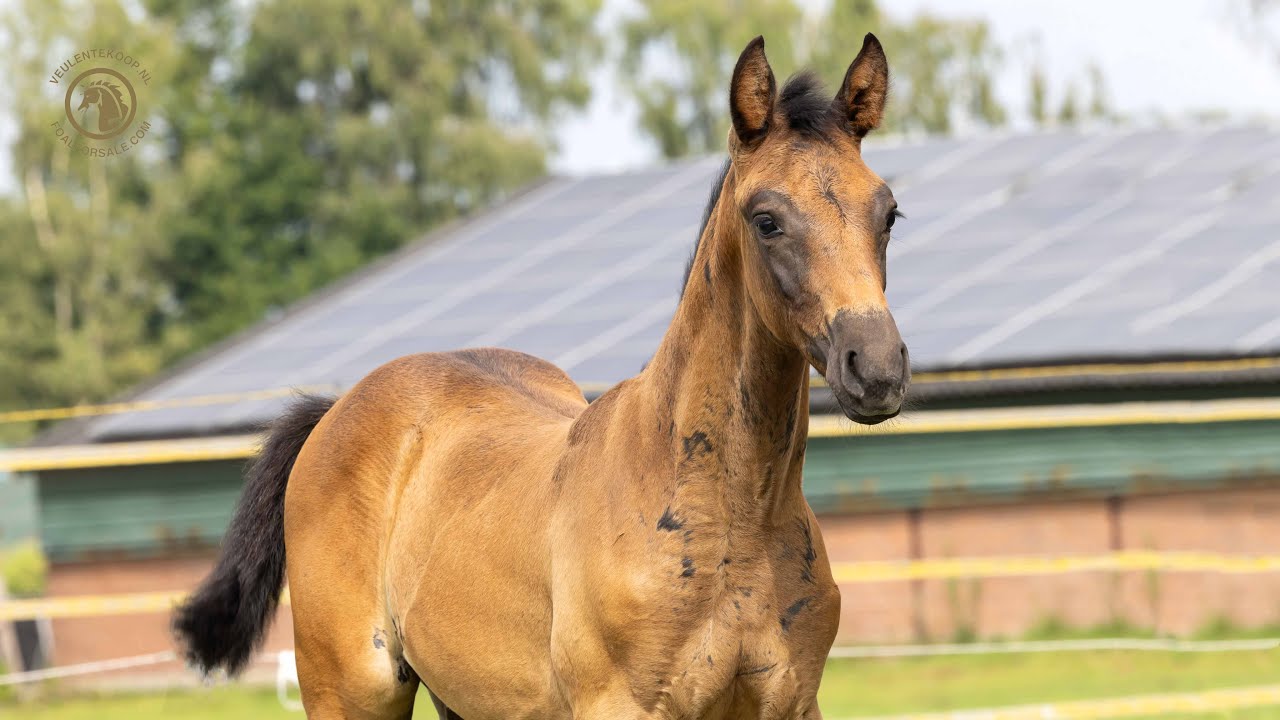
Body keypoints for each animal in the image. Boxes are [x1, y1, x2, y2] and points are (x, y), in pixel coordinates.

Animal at [174, 33, 909, 720]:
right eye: (767, 219)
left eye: (888, 212)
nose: (875, 367)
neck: (728, 524)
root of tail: (334, 412)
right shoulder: (618, 705)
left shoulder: (791, 702)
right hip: (351, 694)